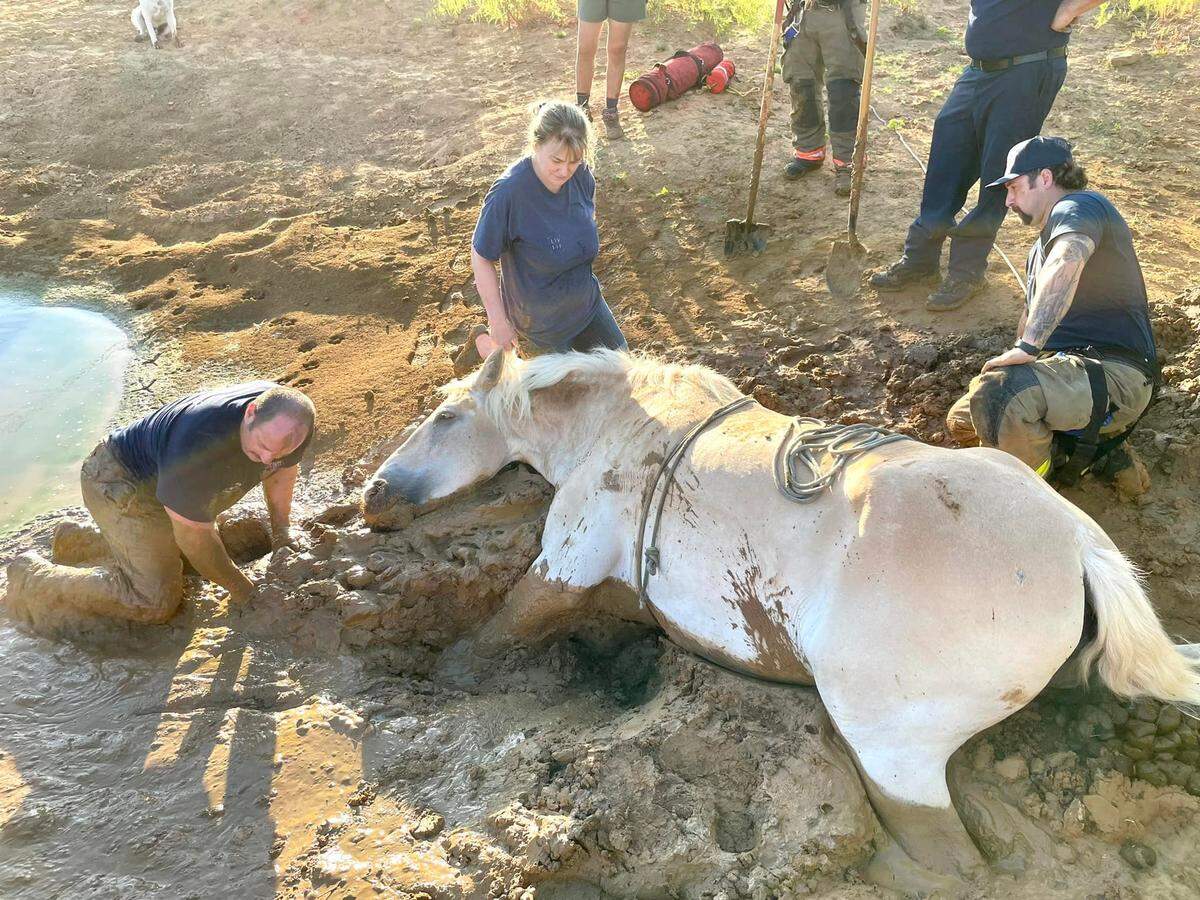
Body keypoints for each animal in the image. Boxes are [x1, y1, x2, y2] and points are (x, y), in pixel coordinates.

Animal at [362, 349, 1200, 887]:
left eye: (444, 416)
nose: (372, 495)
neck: (627, 430)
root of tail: (1075, 542)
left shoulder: (565, 562)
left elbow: (502, 627)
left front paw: (442, 674)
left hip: (890, 747)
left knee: (948, 858)